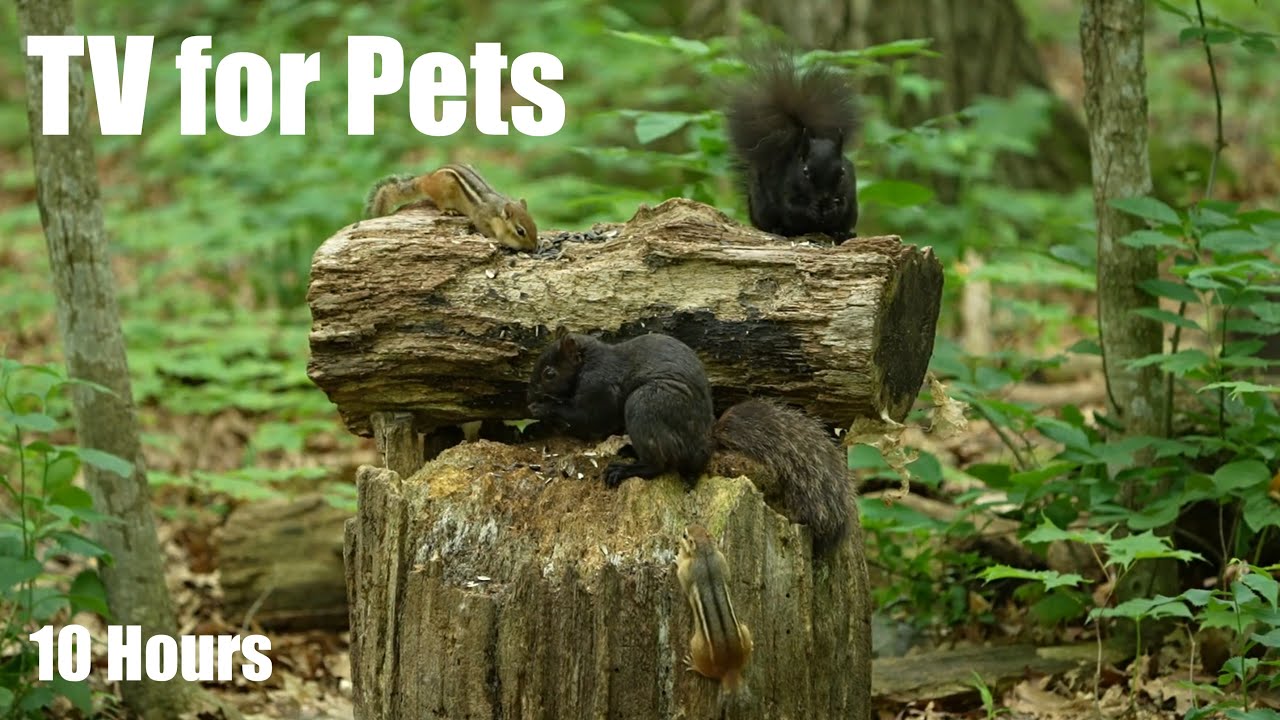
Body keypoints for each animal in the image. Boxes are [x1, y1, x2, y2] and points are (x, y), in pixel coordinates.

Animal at [363, 164, 538, 251]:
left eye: (535, 226)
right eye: (520, 231)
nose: (533, 248)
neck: (497, 209)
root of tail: (425, 179)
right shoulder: (481, 217)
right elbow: (485, 230)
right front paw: (496, 239)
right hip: (445, 189)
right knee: (439, 203)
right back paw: (449, 210)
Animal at [526, 332, 853, 550]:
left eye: (549, 373)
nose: (530, 392)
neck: (590, 360)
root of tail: (704, 444)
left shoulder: (599, 386)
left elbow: (588, 418)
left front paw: (542, 408)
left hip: (645, 406)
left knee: (658, 464)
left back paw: (626, 468)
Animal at [676, 524, 753, 697]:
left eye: (684, 535)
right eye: (702, 528)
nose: (683, 529)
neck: (705, 552)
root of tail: (730, 669)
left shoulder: (685, 571)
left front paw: (677, 558)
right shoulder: (722, 559)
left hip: (696, 645)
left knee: (706, 672)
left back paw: (693, 664)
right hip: (745, 629)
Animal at [724, 50, 860, 240]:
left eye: (841, 173)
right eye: (805, 172)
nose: (824, 198)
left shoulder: (849, 186)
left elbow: (844, 203)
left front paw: (834, 208)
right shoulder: (784, 186)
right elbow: (793, 208)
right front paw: (811, 209)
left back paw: (842, 233)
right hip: (761, 207)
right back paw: (780, 229)